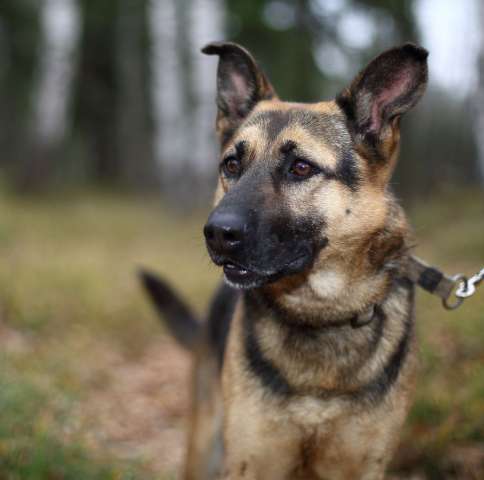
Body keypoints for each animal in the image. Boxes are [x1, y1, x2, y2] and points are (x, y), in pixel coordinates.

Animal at [142, 42, 430, 480]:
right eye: (231, 165)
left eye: (301, 168)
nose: (217, 233)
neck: (320, 312)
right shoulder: (252, 461)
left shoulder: (360, 465)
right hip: (205, 442)